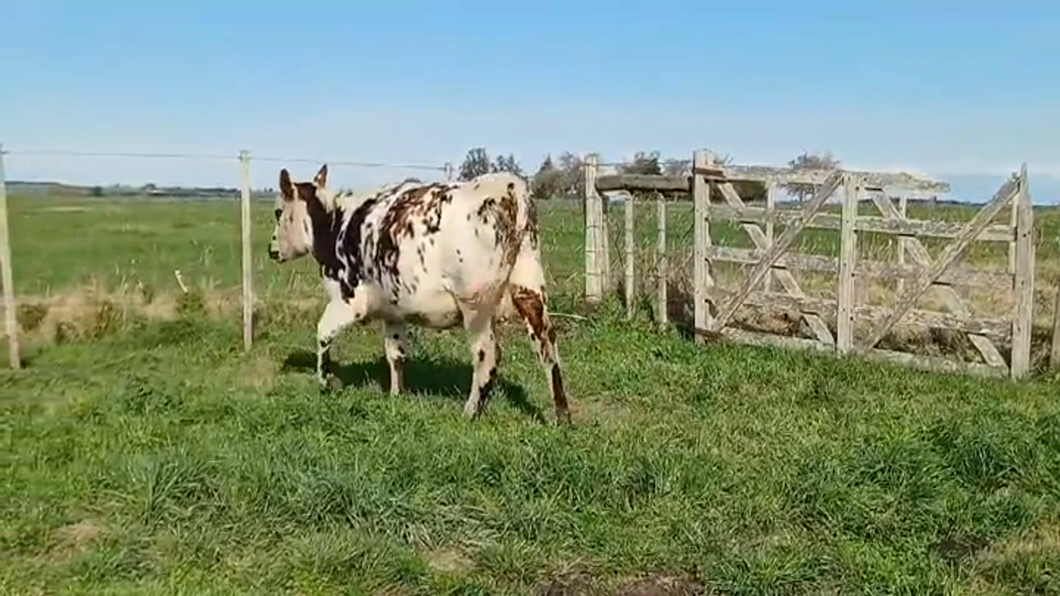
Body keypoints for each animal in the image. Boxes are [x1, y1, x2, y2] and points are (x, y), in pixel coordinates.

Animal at [269, 163, 576, 422]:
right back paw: (562, 414)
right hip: (530, 288)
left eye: (278, 211)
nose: (272, 251)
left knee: (487, 354)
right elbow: (396, 353)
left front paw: (326, 382)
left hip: (475, 302)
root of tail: (509, 185)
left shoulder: (348, 298)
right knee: (547, 346)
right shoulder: (393, 310)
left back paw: (470, 411)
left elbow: (323, 333)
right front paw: (396, 395)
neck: (336, 223)